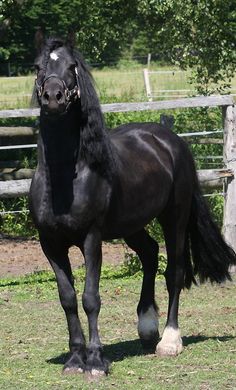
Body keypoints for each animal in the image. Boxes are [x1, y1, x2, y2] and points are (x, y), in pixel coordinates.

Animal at [29, 32, 236, 374]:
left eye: (72, 66)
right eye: (37, 66)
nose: (53, 97)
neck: (65, 178)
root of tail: (169, 138)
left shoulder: (91, 239)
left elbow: (90, 297)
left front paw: (95, 361)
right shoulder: (51, 244)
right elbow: (67, 298)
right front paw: (74, 359)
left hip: (174, 217)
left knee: (174, 271)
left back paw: (169, 341)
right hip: (131, 225)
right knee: (150, 254)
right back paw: (147, 327)